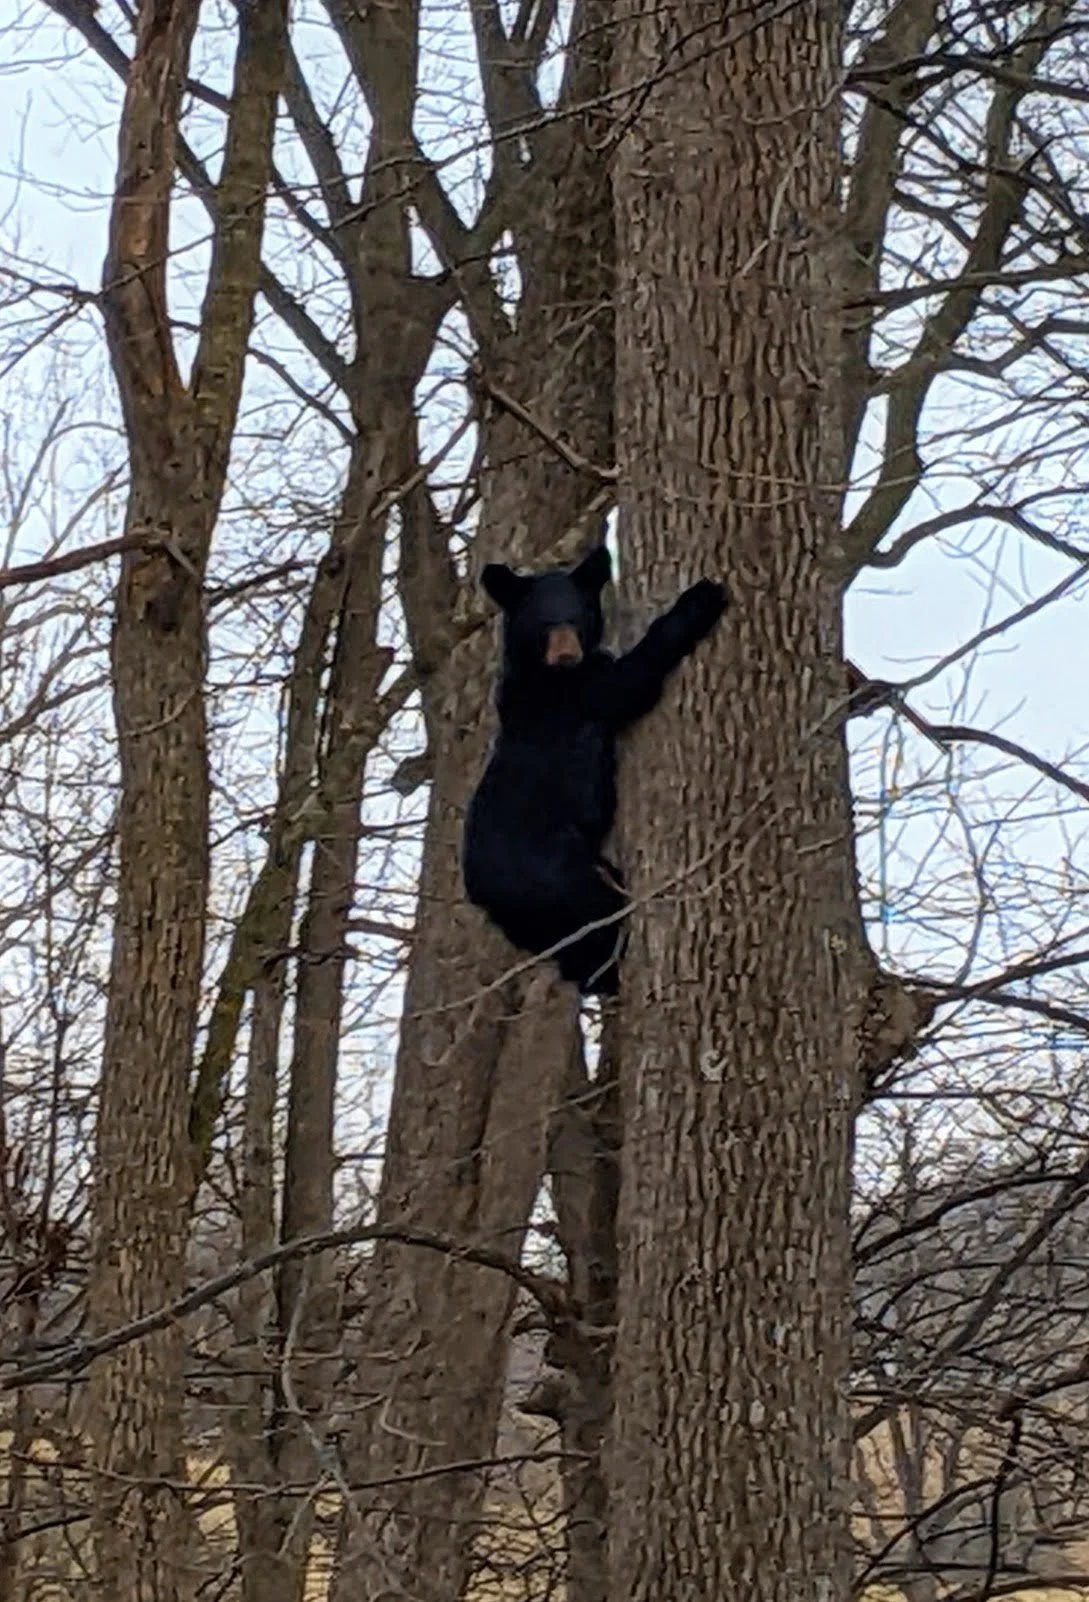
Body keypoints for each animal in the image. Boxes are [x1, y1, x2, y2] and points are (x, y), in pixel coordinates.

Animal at [462, 544, 726, 995]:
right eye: (544, 623)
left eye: (577, 617)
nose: (567, 655)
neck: (543, 671)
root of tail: (482, 894)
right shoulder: (575, 694)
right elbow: (630, 682)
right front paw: (700, 598)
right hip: (554, 872)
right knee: (594, 914)